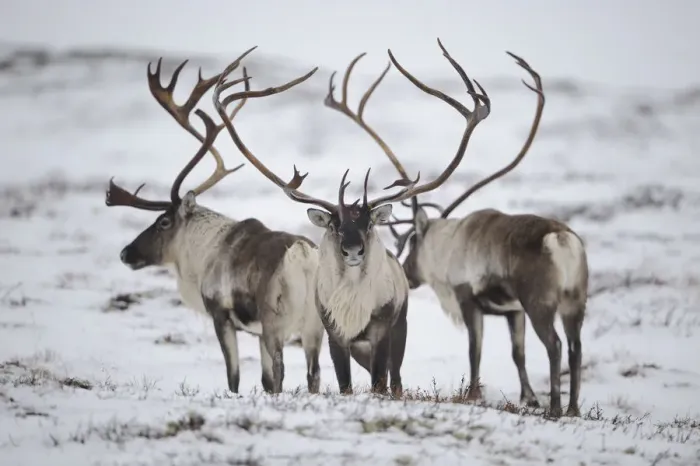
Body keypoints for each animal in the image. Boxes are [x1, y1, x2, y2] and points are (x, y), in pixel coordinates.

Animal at [104, 46, 326, 395]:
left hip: (277, 321)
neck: (205, 251)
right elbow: (263, 379)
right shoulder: (258, 331)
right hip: (314, 326)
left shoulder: (221, 316)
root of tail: (303, 256)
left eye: (163, 221)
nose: (126, 253)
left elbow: (235, 377)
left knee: (281, 371)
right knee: (313, 374)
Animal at [211, 40, 490, 397]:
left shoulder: (383, 331)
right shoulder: (335, 334)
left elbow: (380, 382)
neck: (354, 303)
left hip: (399, 330)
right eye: (334, 224)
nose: (353, 251)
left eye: (369, 224)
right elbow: (344, 382)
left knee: (395, 379)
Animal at [358, 42, 587, 418]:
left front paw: (473, 394)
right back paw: (572, 409)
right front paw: (528, 397)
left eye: (412, 242)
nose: (407, 273)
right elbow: (518, 353)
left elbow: (474, 349)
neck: (449, 243)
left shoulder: (469, 299)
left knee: (554, 345)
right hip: (574, 301)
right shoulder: (513, 310)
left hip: (541, 301)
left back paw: (555, 409)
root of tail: (561, 239)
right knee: (575, 346)